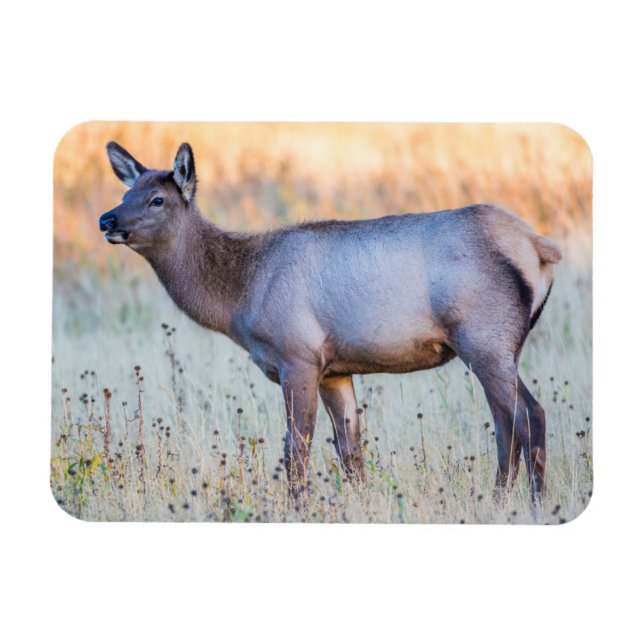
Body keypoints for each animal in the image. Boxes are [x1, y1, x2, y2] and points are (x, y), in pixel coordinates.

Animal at [99, 141, 562, 505]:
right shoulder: (335, 370)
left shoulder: (297, 355)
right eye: (126, 192)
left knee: (528, 416)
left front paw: (298, 507)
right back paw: (499, 500)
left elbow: (296, 449)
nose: (107, 220)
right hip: (497, 345)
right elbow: (350, 450)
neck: (240, 296)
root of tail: (539, 247)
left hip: (485, 338)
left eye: (157, 200)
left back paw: (535, 504)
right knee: (507, 423)